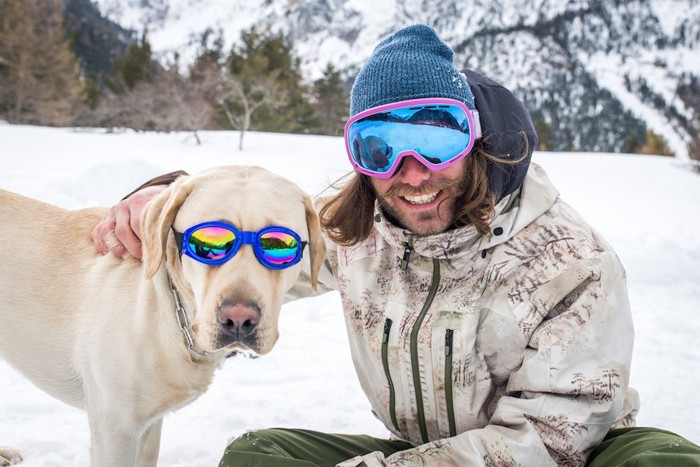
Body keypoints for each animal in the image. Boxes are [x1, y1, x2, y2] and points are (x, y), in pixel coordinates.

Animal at [0, 166, 326, 466]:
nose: (238, 320)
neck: (168, 313)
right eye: (209, 244)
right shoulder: (115, 429)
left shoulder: (148, 427)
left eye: (279, 245)